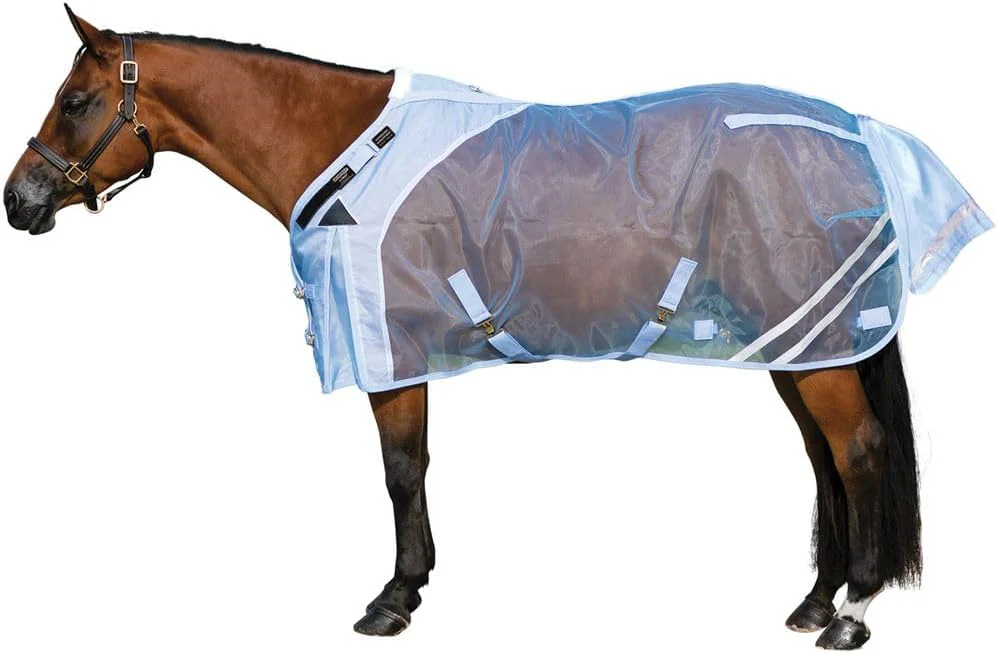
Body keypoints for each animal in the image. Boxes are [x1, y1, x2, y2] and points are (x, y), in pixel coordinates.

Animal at [3, 7, 935, 649]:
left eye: (76, 101)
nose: (19, 200)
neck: (346, 151)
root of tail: (855, 137)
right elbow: (409, 468)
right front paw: (408, 588)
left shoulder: (391, 350)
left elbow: (400, 470)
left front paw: (393, 598)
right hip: (798, 341)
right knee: (823, 459)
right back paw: (813, 601)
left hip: (815, 348)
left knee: (857, 452)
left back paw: (851, 613)